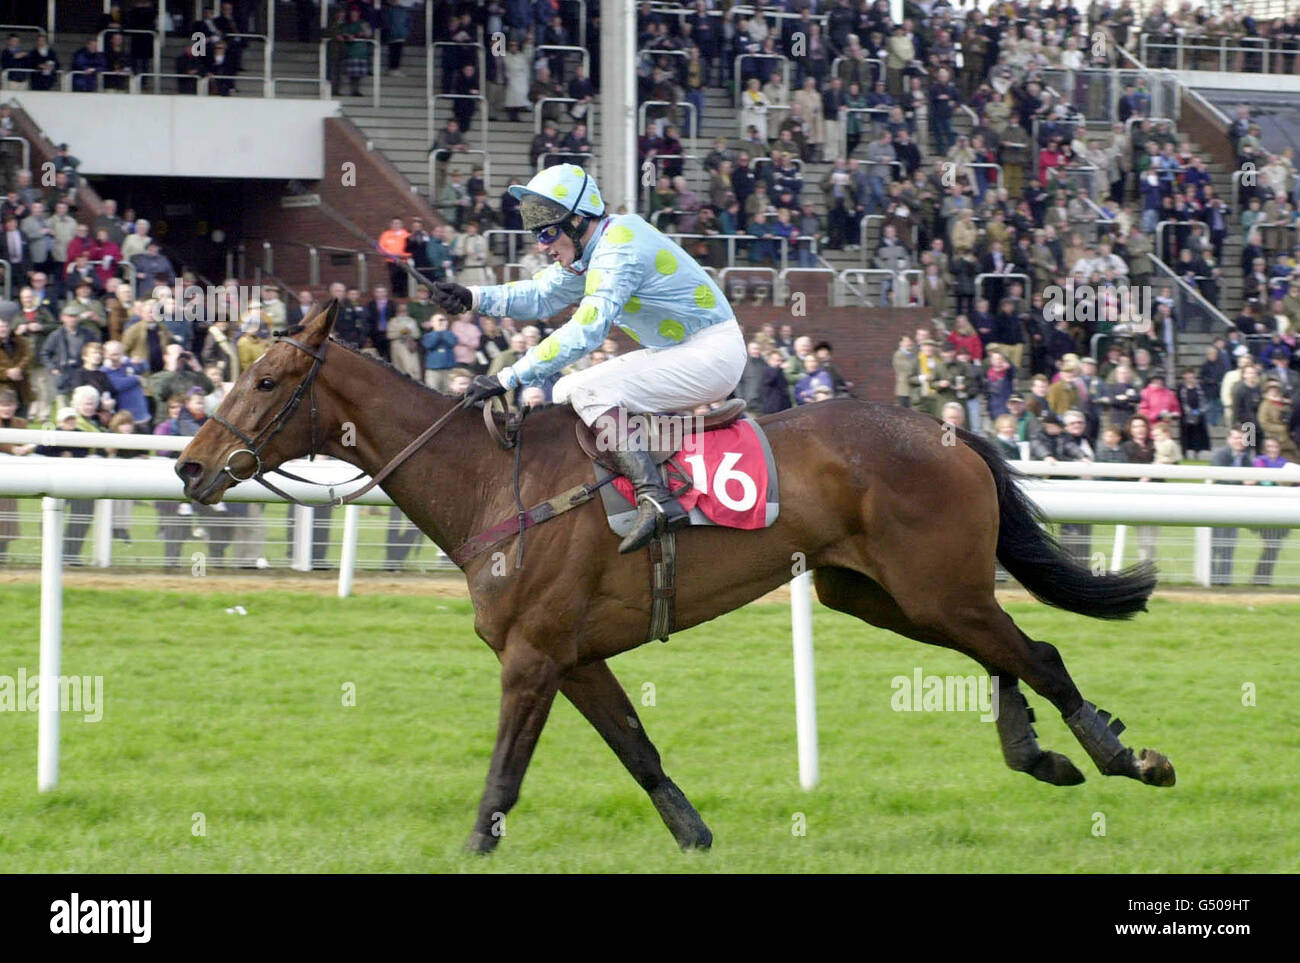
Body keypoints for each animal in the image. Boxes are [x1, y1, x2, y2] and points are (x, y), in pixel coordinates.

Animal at [175, 304, 1180, 852]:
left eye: (266, 381)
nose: (189, 467)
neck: (495, 481)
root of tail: (950, 428)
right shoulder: (573, 655)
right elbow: (639, 749)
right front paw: (696, 836)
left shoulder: (532, 654)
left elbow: (502, 778)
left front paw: (470, 847)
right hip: (880, 593)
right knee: (1005, 649)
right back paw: (1036, 751)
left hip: (934, 587)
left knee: (1038, 650)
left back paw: (1123, 754)